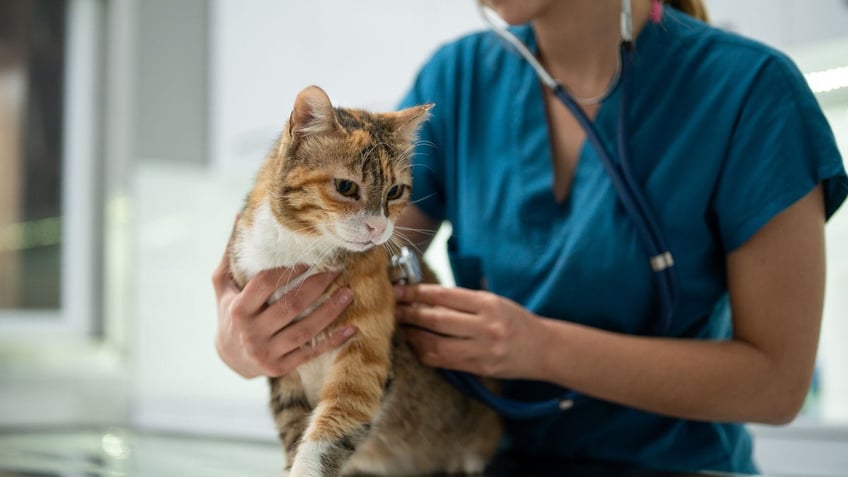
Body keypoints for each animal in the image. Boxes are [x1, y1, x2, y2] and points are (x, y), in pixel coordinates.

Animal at [227, 86, 504, 476]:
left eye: (395, 191)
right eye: (346, 187)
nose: (377, 227)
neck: (300, 255)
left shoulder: (363, 361)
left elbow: (327, 434)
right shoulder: (281, 367)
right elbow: (294, 432)